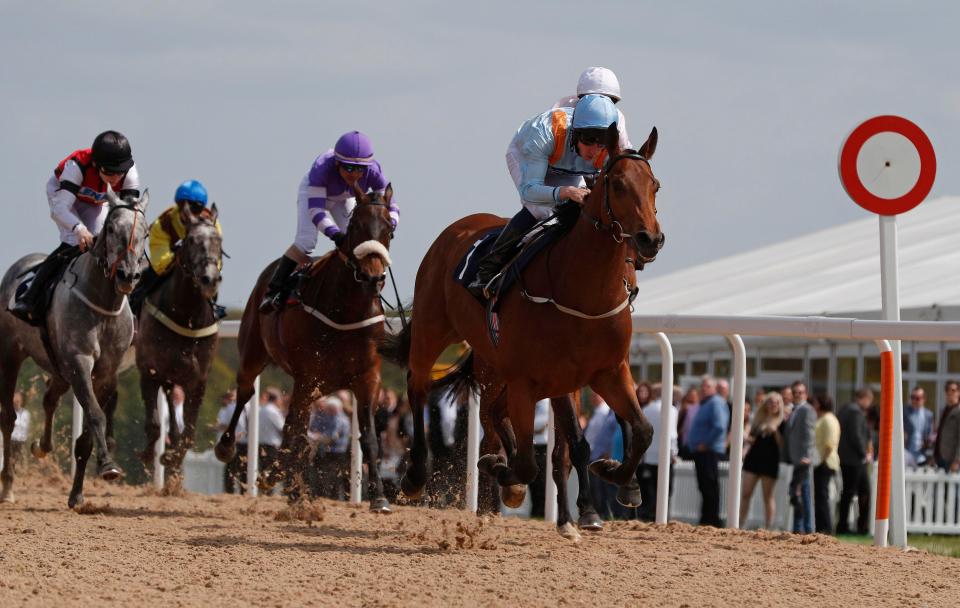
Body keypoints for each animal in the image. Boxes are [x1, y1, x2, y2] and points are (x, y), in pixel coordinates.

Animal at [0, 190, 148, 508]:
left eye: (144, 232)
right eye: (111, 229)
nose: (128, 275)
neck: (102, 305)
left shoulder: (105, 373)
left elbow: (88, 433)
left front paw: (78, 493)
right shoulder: (79, 363)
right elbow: (95, 415)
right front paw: (108, 465)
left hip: (58, 367)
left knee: (48, 398)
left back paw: (42, 446)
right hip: (10, 355)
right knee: (8, 418)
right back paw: (8, 486)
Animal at [137, 207, 223, 478]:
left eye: (218, 241)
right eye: (192, 240)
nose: (209, 279)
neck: (186, 317)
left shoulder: (199, 381)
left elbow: (189, 434)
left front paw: (172, 459)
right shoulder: (149, 371)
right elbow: (154, 424)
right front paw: (149, 456)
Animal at [217, 184, 394, 508]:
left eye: (389, 228)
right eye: (356, 226)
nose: (372, 276)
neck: (346, 310)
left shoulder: (367, 377)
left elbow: (369, 437)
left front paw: (379, 497)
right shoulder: (308, 376)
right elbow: (296, 436)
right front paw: (296, 494)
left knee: (289, 431)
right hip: (254, 354)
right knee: (246, 394)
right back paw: (228, 448)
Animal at [382, 126, 660, 510]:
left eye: (655, 185)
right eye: (617, 185)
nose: (651, 239)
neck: (583, 297)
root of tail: (459, 226)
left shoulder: (607, 372)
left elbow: (642, 430)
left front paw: (615, 474)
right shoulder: (531, 382)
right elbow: (531, 462)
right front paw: (504, 471)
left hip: (497, 365)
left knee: (493, 412)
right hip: (433, 328)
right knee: (419, 386)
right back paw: (416, 476)